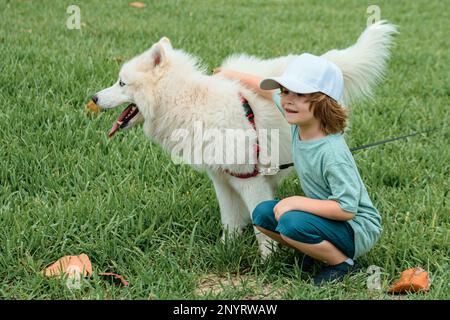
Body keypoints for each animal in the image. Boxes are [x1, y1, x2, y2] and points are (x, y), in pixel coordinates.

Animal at [93, 21, 396, 258]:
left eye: (121, 83)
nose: (93, 98)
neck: (190, 101)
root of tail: (324, 63)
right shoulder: (223, 178)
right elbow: (230, 220)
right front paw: (226, 249)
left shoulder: (249, 179)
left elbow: (259, 222)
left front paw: (267, 260)